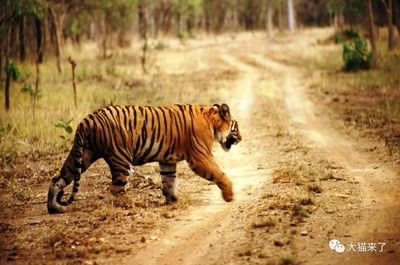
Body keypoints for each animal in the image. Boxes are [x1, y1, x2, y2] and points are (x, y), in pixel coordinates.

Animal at [47, 102, 241, 212]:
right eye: (236, 127)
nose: (241, 138)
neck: (211, 119)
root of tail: (87, 120)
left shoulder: (167, 161)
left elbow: (169, 181)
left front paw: (172, 200)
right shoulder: (200, 157)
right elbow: (219, 173)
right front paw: (230, 194)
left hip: (84, 155)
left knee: (58, 178)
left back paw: (53, 207)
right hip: (121, 157)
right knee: (116, 190)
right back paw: (135, 205)